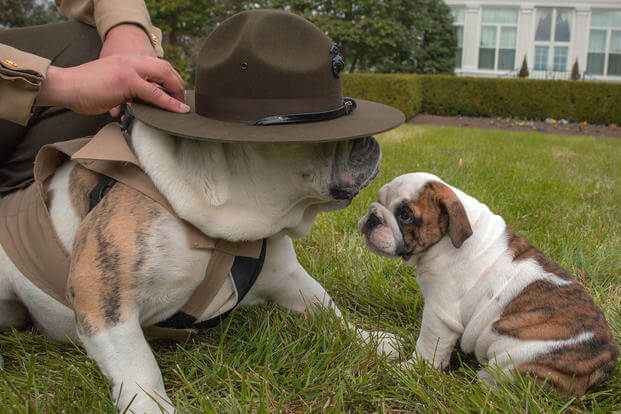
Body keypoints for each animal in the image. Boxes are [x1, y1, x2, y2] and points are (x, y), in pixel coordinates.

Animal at [0, 120, 398, 414]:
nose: (370, 139)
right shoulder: (103, 296)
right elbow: (137, 362)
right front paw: (151, 407)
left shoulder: (286, 275)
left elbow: (324, 305)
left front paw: (371, 341)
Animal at [356, 172, 616, 398]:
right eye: (379, 199)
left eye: (405, 215)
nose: (373, 215)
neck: (448, 238)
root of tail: (607, 359)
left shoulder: (440, 313)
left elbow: (428, 346)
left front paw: (409, 370)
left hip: (514, 357)